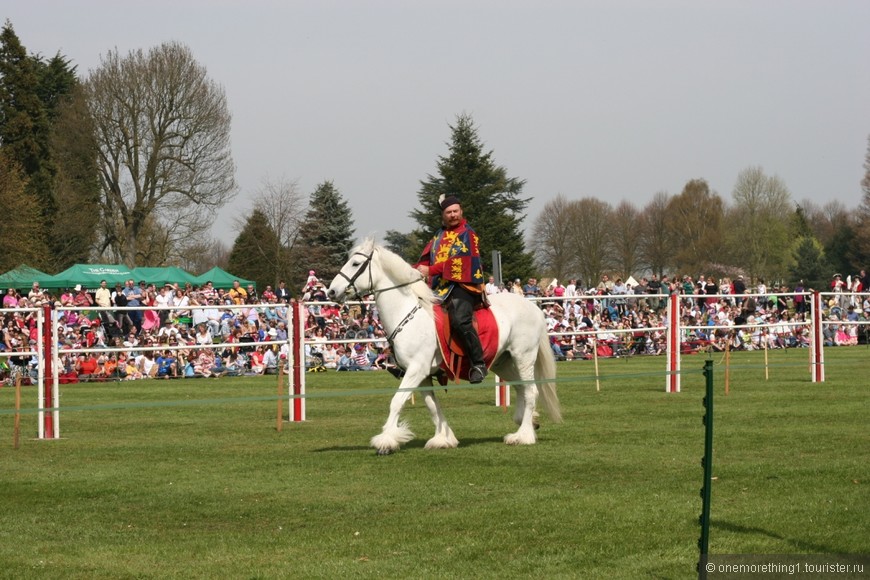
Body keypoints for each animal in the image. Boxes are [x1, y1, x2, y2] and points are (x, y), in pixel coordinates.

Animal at [324, 238, 564, 456]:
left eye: (355, 263)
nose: (332, 291)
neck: (409, 314)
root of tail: (534, 308)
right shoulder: (422, 376)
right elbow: (432, 406)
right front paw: (443, 438)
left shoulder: (416, 370)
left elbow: (396, 401)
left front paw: (386, 441)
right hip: (503, 362)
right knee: (521, 389)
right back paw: (527, 423)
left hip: (523, 357)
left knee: (531, 391)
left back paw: (523, 436)